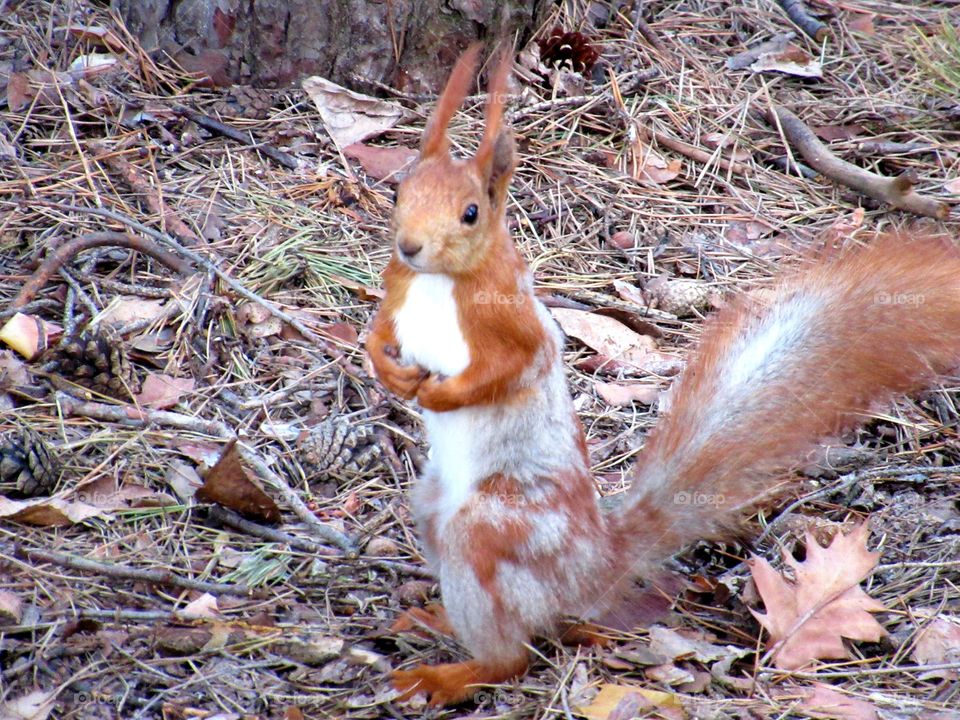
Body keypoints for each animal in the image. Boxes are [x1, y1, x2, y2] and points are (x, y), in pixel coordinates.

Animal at [366, 45, 960, 706]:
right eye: (399, 190)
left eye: (471, 214)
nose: (410, 246)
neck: (438, 282)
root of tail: (592, 563)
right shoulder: (396, 292)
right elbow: (378, 332)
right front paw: (388, 371)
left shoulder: (516, 325)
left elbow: (511, 368)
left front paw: (443, 395)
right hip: (430, 506)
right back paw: (435, 622)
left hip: (497, 528)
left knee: (513, 653)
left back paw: (449, 674)